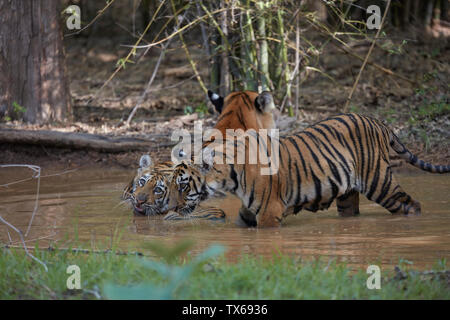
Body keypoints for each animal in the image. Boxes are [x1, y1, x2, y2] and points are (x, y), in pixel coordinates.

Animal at [169, 112, 450, 228]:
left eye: (182, 184)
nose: (169, 209)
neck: (231, 179)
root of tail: (379, 122)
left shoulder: (269, 212)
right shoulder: (248, 212)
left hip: (379, 182)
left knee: (410, 204)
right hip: (348, 195)